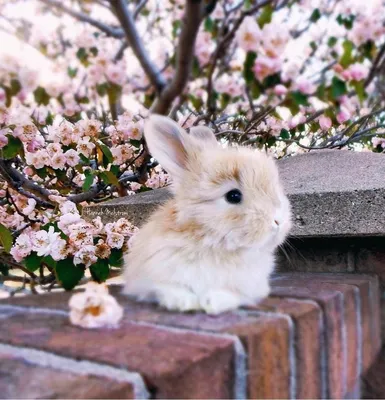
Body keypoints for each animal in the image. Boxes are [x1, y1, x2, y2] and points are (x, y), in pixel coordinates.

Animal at [123, 115, 292, 316]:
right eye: (233, 196)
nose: (278, 221)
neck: (213, 243)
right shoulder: (150, 278)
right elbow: (167, 288)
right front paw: (184, 302)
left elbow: (231, 294)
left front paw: (212, 302)